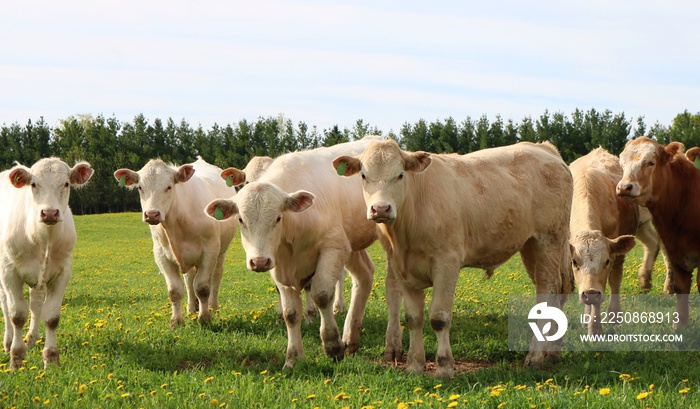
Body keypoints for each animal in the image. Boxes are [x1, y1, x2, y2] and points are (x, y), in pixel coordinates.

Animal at [0, 158, 93, 368]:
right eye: (33, 184)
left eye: (66, 184)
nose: (49, 213)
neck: (42, 237)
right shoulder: (9, 272)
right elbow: (16, 315)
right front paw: (16, 358)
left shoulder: (62, 273)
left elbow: (51, 317)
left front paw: (51, 358)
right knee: (5, 305)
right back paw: (8, 342)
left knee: (35, 304)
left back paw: (31, 338)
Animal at [113, 156, 237, 328]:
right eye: (140, 187)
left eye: (169, 186)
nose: (152, 214)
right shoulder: (161, 255)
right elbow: (175, 290)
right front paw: (176, 321)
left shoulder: (209, 251)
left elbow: (203, 288)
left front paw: (205, 317)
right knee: (190, 279)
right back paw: (191, 309)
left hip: (221, 252)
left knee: (216, 277)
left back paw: (213, 307)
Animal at [206, 136, 382, 366]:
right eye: (241, 219)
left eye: (278, 217)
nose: (258, 262)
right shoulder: (280, 265)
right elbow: (290, 313)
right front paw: (293, 357)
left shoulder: (334, 247)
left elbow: (321, 295)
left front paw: (332, 345)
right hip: (353, 245)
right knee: (364, 275)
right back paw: (351, 338)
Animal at [334, 139, 576, 376]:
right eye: (363, 175)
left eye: (400, 174)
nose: (381, 208)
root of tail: (544, 148)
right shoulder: (402, 267)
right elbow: (413, 318)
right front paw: (414, 365)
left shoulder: (446, 262)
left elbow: (439, 318)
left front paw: (444, 366)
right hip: (530, 244)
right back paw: (552, 353)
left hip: (549, 239)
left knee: (548, 290)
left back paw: (535, 357)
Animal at [616, 137, 700, 328]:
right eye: (622, 164)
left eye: (650, 162)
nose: (624, 187)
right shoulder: (674, 249)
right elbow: (681, 287)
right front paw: (680, 325)